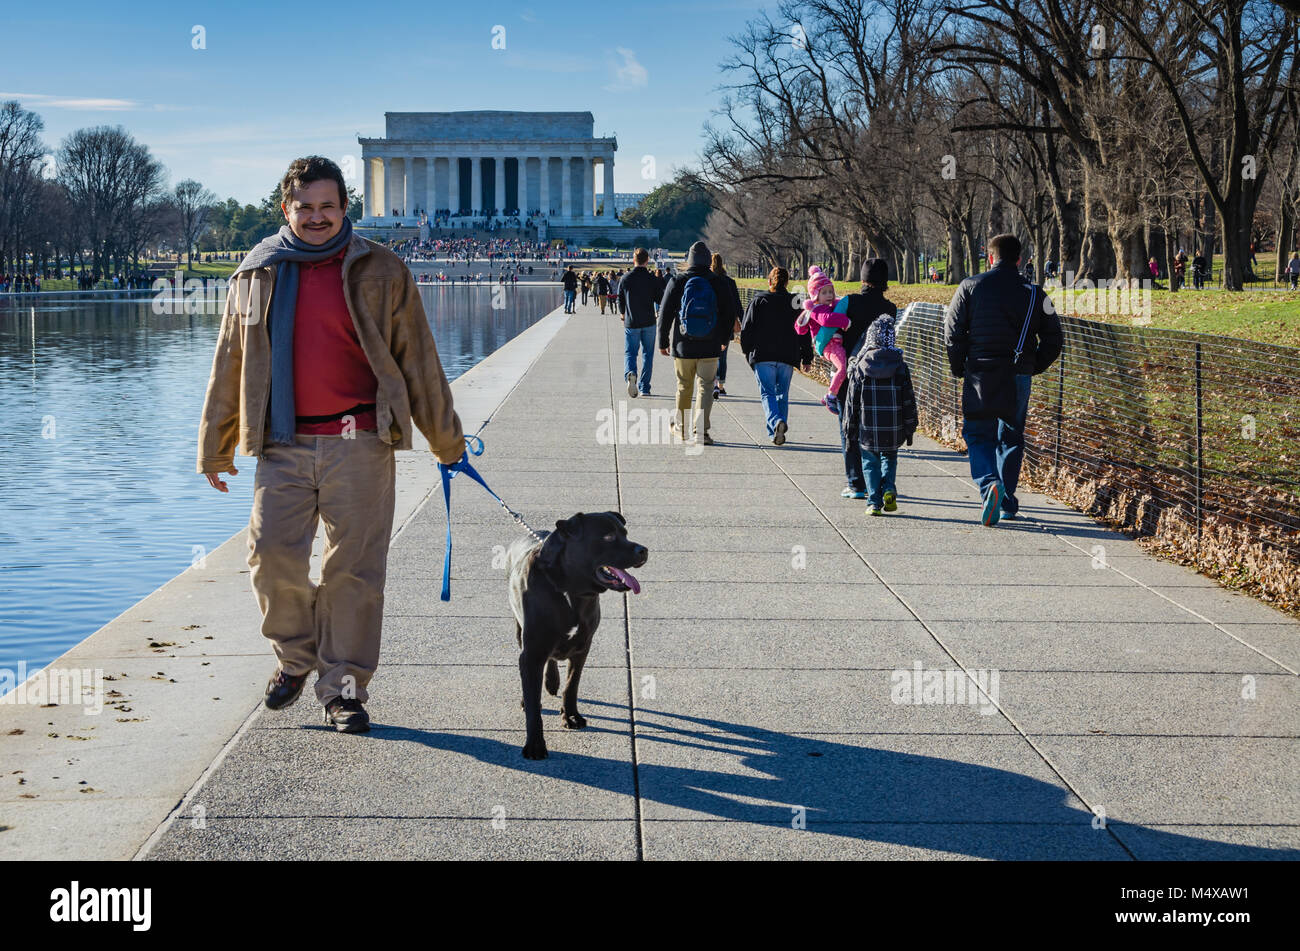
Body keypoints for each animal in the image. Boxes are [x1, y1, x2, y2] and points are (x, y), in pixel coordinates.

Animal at [506, 511, 650, 758]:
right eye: (609, 537)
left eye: (625, 533)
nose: (643, 550)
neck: (571, 590)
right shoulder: (532, 652)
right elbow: (534, 703)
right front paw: (535, 744)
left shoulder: (583, 645)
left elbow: (571, 685)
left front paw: (571, 715)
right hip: (520, 631)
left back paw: (551, 682)